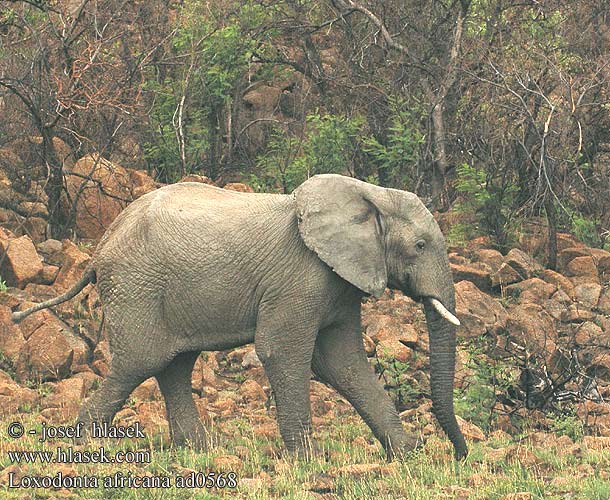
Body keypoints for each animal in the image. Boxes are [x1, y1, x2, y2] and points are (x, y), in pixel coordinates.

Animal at [13, 175, 466, 460]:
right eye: (420, 245)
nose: (459, 455)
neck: (369, 193)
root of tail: (102, 244)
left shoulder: (338, 284)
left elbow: (344, 363)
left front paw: (408, 452)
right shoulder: (299, 278)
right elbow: (283, 351)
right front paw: (311, 459)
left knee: (174, 364)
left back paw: (198, 450)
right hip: (135, 285)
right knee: (141, 361)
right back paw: (86, 444)